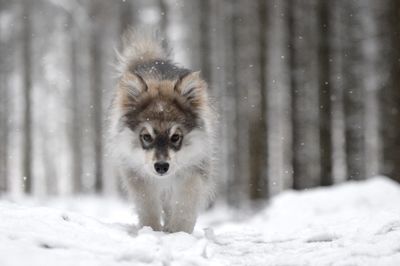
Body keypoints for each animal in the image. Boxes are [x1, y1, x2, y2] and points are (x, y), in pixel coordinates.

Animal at [107, 29, 216, 233]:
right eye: (146, 136)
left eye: (176, 137)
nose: (161, 166)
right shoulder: (137, 174)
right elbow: (147, 205)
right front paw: (152, 229)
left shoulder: (193, 170)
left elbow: (185, 205)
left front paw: (178, 232)